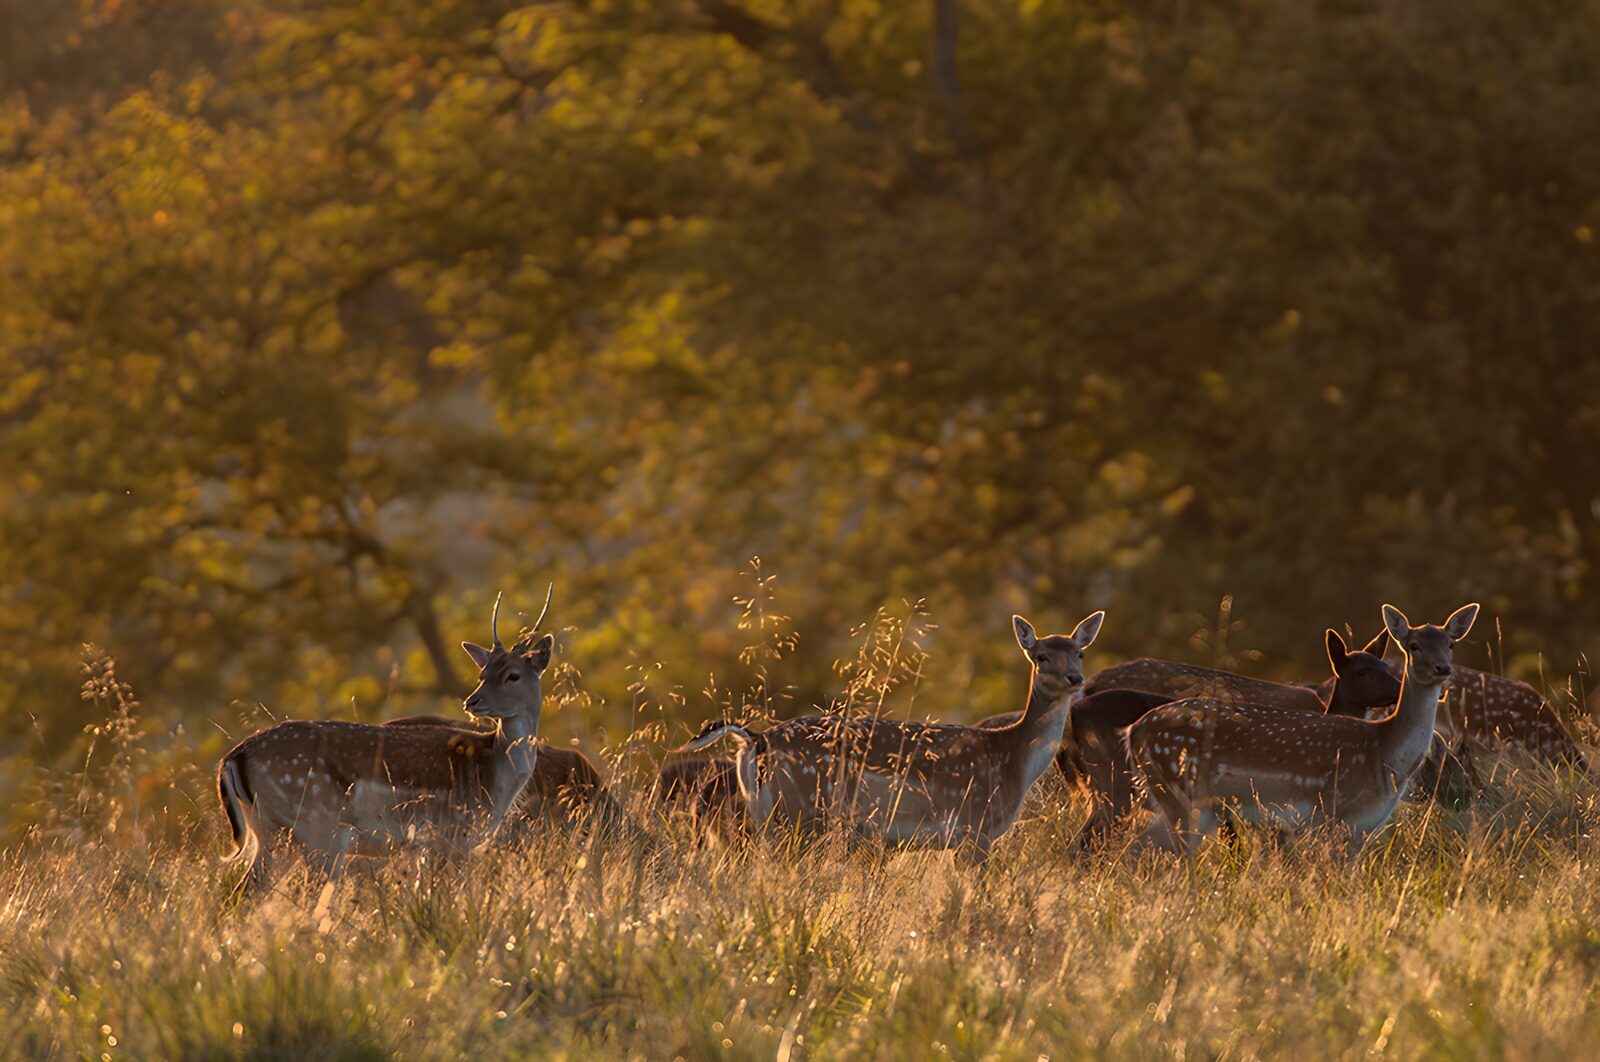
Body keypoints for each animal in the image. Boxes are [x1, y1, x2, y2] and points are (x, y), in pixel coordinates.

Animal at [216, 591, 555, 895]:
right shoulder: (453, 836)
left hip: (270, 831)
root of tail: (233, 758)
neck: (494, 780)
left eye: (512, 675)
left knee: (243, 893)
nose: (473, 701)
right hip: (318, 830)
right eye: (483, 673)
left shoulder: (428, 845)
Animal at [674, 611, 1106, 867]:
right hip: (799, 814)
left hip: (768, 817)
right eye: (1041, 656)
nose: (1075, 679)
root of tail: (756, 740)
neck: (1010, 759)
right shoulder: (975, 830)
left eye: (1080, 652)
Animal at [1126, 603, 1478, 855]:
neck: (1385, 755)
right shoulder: (1336, 814)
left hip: (1191, 803)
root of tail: (1134, 732)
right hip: (1180, 791)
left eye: (1451, 643)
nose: (1443, 668)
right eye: (1414, 645)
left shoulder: (1365, 827)